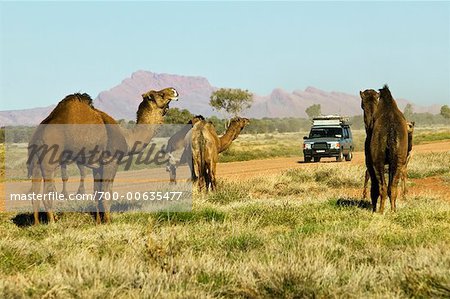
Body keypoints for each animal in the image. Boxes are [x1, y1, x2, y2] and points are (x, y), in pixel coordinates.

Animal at [26, 89, 179, 225]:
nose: (174, 91)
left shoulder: (97, 167)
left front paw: (99, 222)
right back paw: (53, 223)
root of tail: (39, 133)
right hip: (49, 161)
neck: (127, 137)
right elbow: (107, 194)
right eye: (161, 94)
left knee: (35, 193)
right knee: (47, 192)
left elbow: (97, 194)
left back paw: (37, 224)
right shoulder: (111, 162)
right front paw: (109, 222)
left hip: (36, 161)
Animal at [364, 85, 410, 214]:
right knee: (392, 186)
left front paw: (373, 209)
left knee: (382, 186)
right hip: (399, 157)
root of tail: (391, 130)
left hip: (377, 159)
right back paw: (393, 210)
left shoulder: (369, 160)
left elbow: (373, 185)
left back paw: (380, 211)